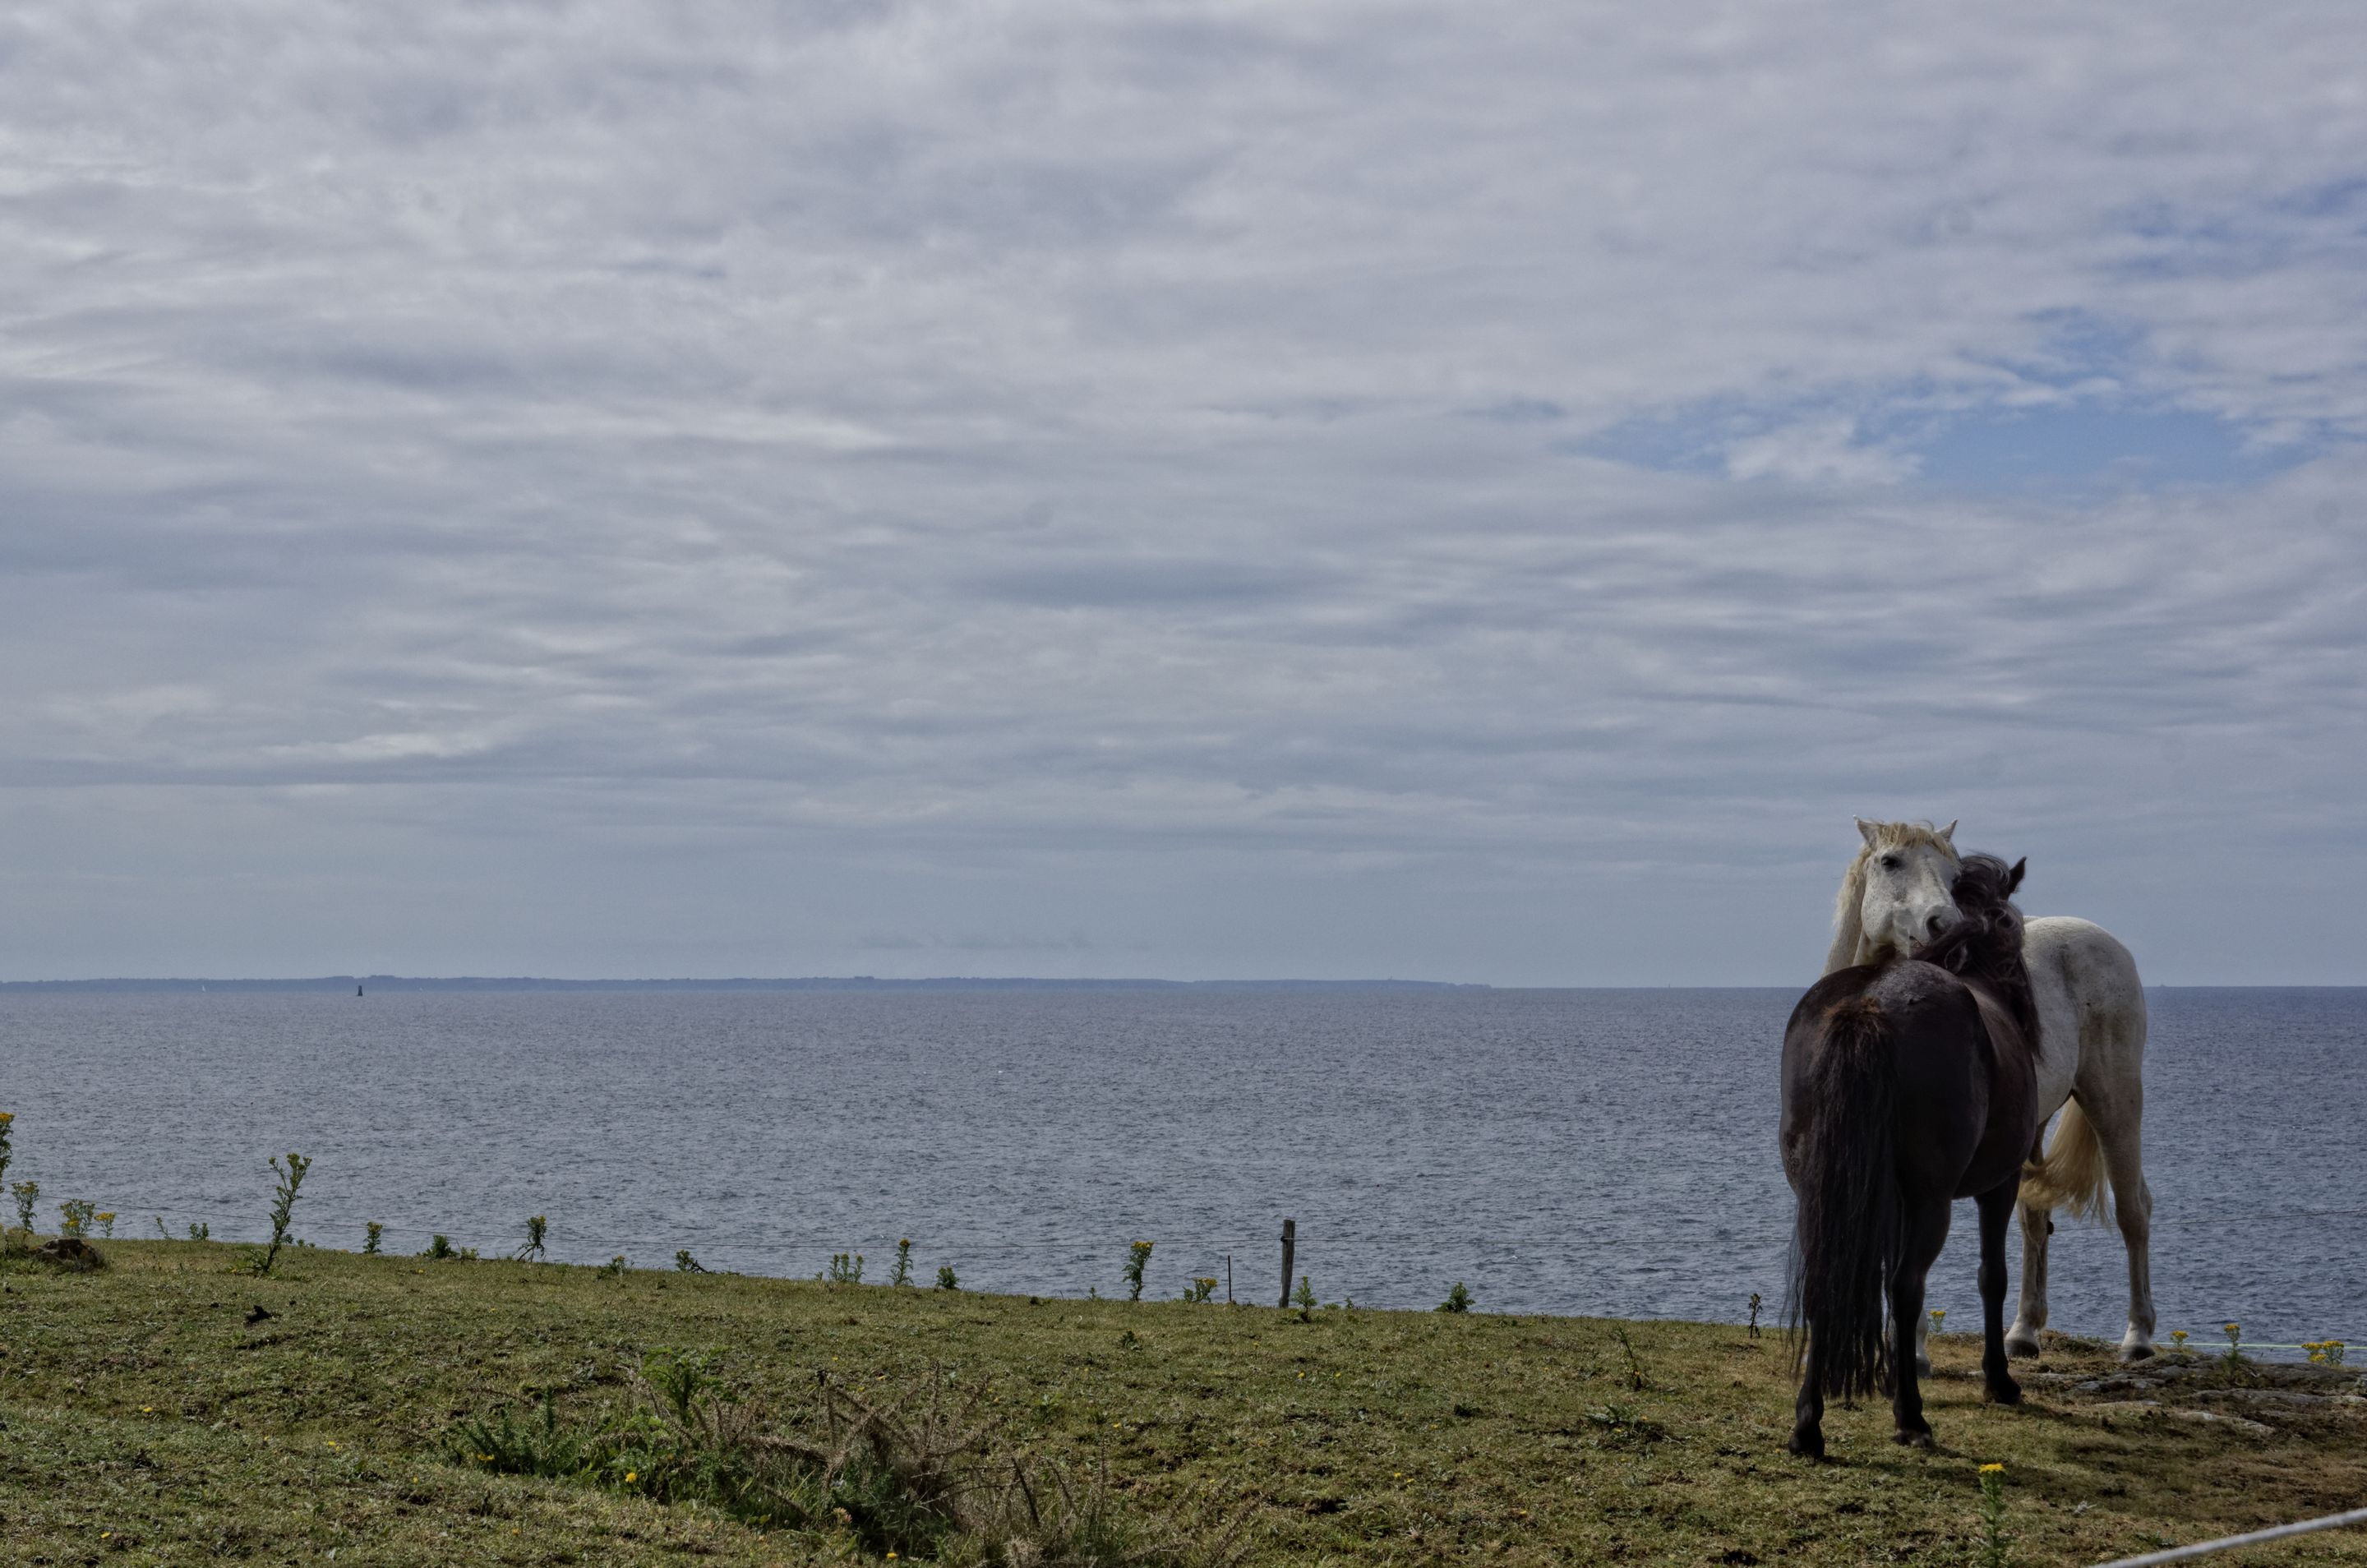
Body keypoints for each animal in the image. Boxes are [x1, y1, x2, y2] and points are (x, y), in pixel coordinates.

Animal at [1783, 852, 2041, 1457]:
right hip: (1932, 1200)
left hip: (1820, 1193)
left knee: (1828, 1281)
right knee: (1907, 1288)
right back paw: (1911, 1416)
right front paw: (1999, 1380)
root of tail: (1869, 1002)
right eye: (2015, 930)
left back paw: (1809, 1424)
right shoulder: (1999, 1187)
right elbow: (1991, 1276)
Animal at [1828, 819, 2156, 1365]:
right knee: (2034, 1215)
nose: (1944, 924)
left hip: (2115, 1100)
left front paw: (1913, 1351)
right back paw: (2023, 1332)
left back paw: (2138, 1337)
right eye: (1890, 862)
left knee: (2134, 1209)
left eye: (1954, 873)